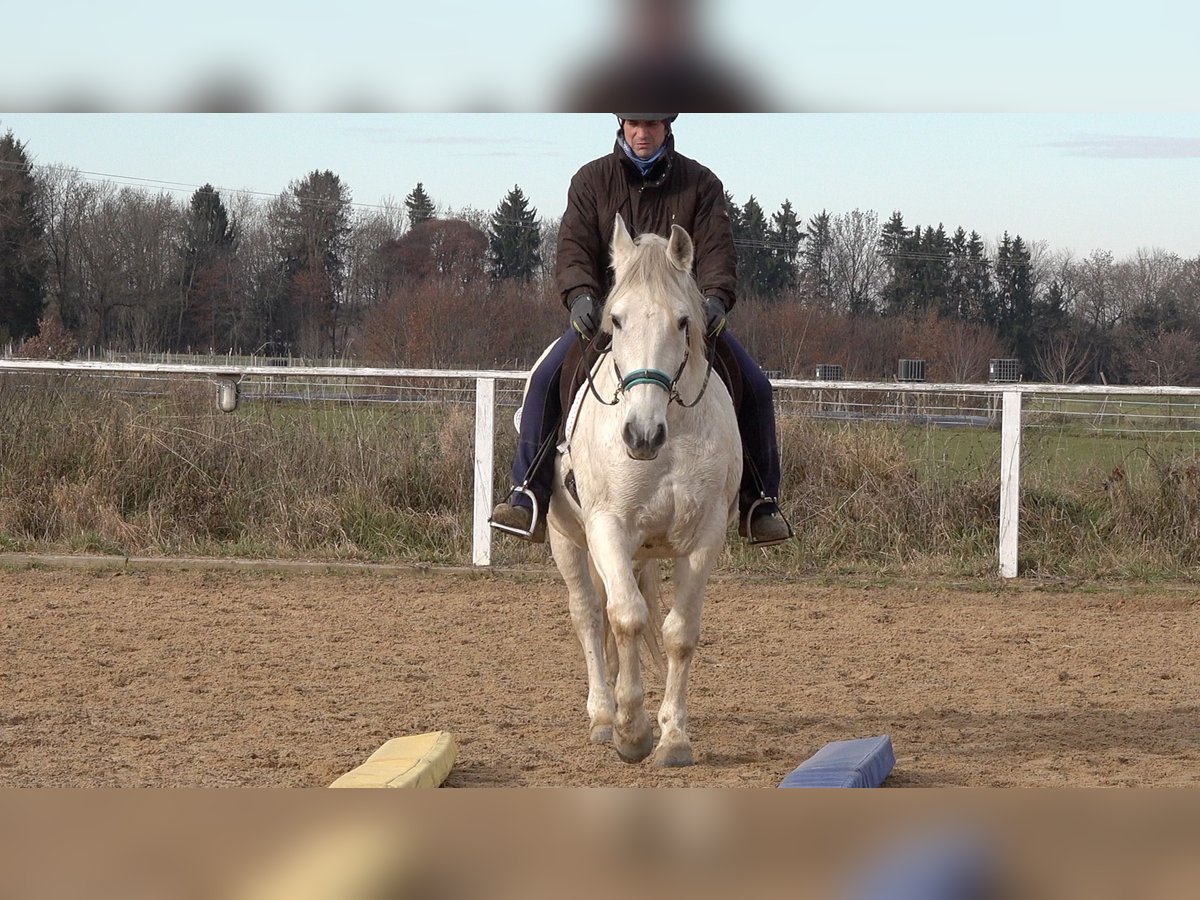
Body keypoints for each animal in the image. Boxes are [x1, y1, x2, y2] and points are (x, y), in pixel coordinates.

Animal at [547, 214, 741, 766]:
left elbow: (679, 633)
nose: (641, 435)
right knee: (591, 615)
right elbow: (628, 617)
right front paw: (631, 731)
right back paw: (602, 714)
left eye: (683, 321)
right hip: (566, 538)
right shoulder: (608, 528)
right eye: (614, 320)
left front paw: (673, 737)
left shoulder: (704, 538)